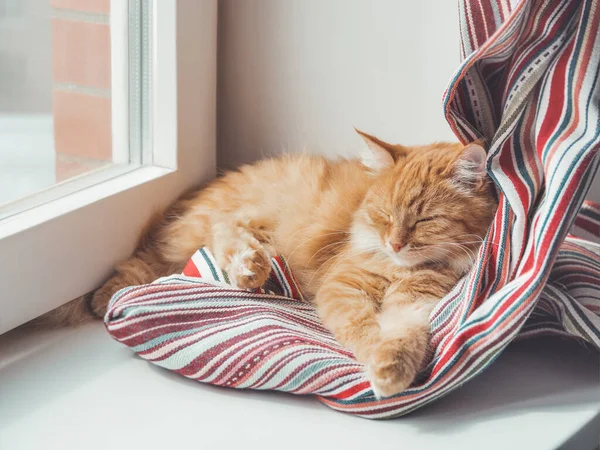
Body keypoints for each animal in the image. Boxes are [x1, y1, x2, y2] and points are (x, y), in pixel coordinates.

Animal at [64, 131, 496, 398]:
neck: (401, 269)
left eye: (424, 220)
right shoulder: (344, 285)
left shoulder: (417, 300)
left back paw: (250, 270)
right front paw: (376, 361)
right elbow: (360, 329)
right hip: (244, 220)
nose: (395, 243)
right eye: (385, 216)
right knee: (203, 238)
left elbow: (404, 335)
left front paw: (390, 370)